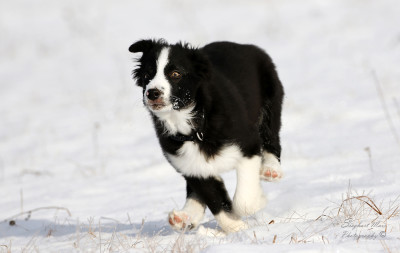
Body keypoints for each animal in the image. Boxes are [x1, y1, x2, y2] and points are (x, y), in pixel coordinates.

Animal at [130, 39, 282, 233]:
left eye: (175, 74)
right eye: (147, 75)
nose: (152, 93)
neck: (194, 128)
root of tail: (246, 45)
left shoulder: (248, 143)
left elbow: (243, 200)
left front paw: (253, 207)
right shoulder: (190, 164)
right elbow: (215, 199)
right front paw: (236, 228)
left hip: (270, 103)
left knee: (272, 140)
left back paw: (271, 170)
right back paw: (183, 217)